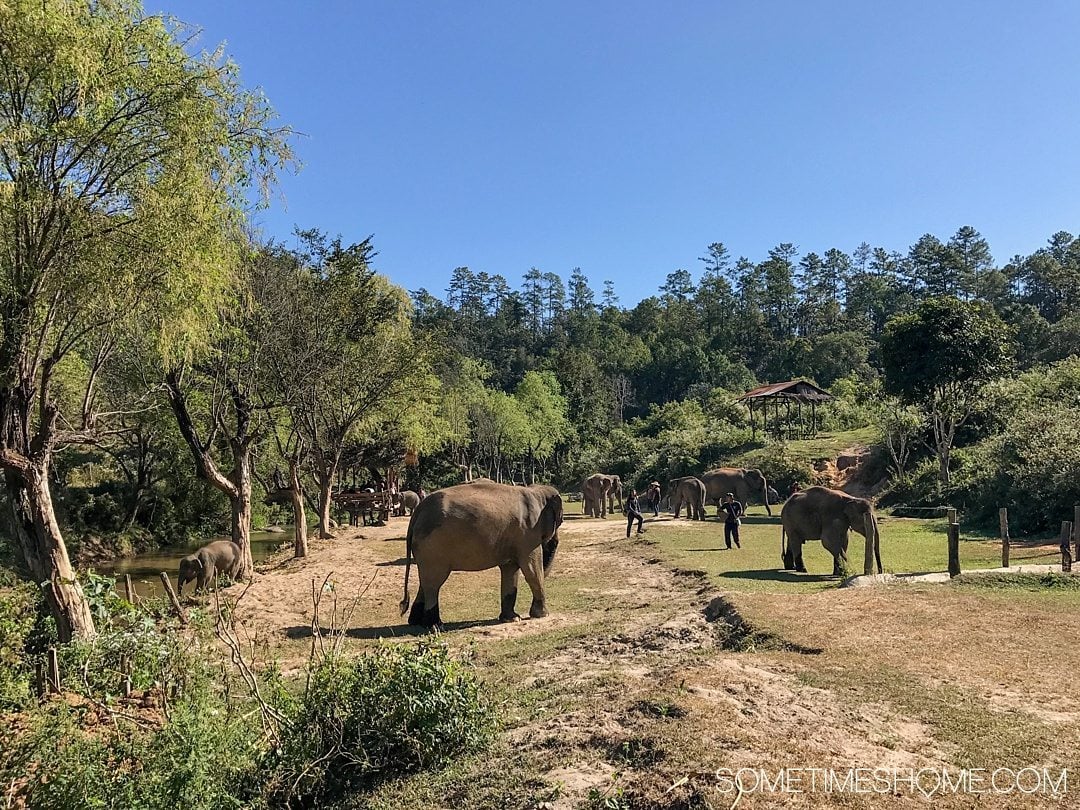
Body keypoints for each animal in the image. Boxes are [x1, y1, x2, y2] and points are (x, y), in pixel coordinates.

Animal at [399, 479, 565, 630]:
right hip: (432, 546)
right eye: (561, 520)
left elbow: (510, 570)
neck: (535, 491)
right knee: (434, 583)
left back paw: (416, 622)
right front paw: (542, 615)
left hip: (425, 548)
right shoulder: (528, 533)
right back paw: (435, 625)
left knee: (425, 581)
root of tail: (419, 511)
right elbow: (531, 569)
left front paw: (512, 619)